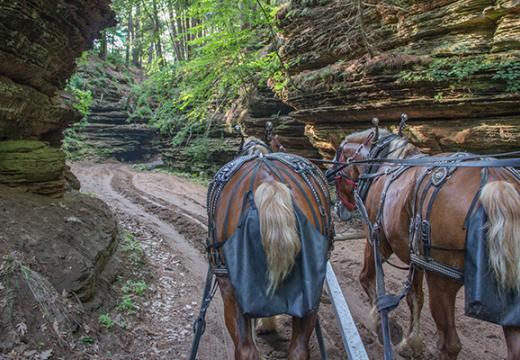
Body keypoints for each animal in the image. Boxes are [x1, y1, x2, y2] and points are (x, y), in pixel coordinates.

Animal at [209, 137, 332, 358]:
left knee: (246, 349)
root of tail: (269, 181)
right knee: (299, 349)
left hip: (229, 286)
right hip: (311, 295)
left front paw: (265, 326)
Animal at [334, 126, 520, 358]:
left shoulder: (376, 240)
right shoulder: (417, 259)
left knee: (450, 343)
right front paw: (412, 343)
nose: (339, 209)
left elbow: (366, 279)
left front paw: (385, 327)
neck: (382, 167)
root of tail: (497, 183)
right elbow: (415, 297)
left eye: (337, 162)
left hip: (441, 280)